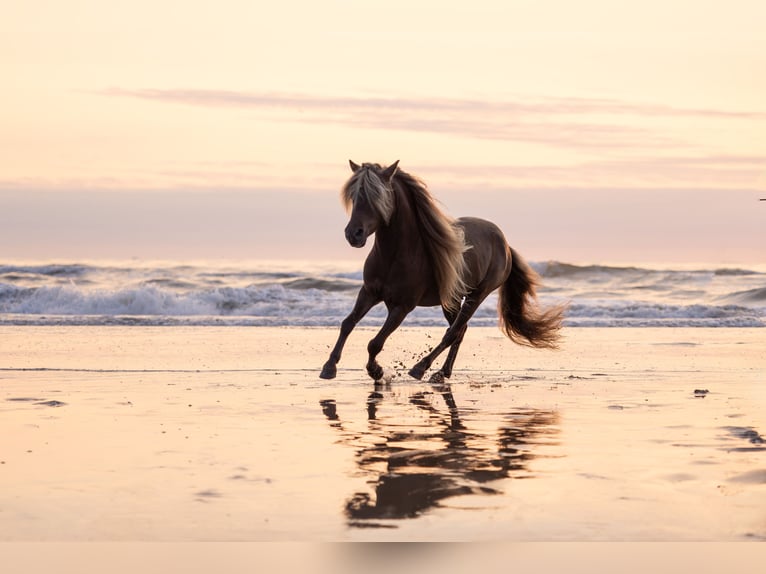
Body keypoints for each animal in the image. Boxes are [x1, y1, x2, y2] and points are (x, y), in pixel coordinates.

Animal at [320, 160, 568, 384]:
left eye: (377, 197)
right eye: (354, 197)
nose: (354, 234)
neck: (395, 255)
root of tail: (505, 244)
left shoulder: (402, 307)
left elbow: (375, 343)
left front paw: (377, 371)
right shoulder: (369, 293)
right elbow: (347, 323)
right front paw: (329, 367)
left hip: (476, 296)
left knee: (453, 332)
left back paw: (421, 369)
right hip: (451, 300)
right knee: (459, 330)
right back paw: (442, 373)